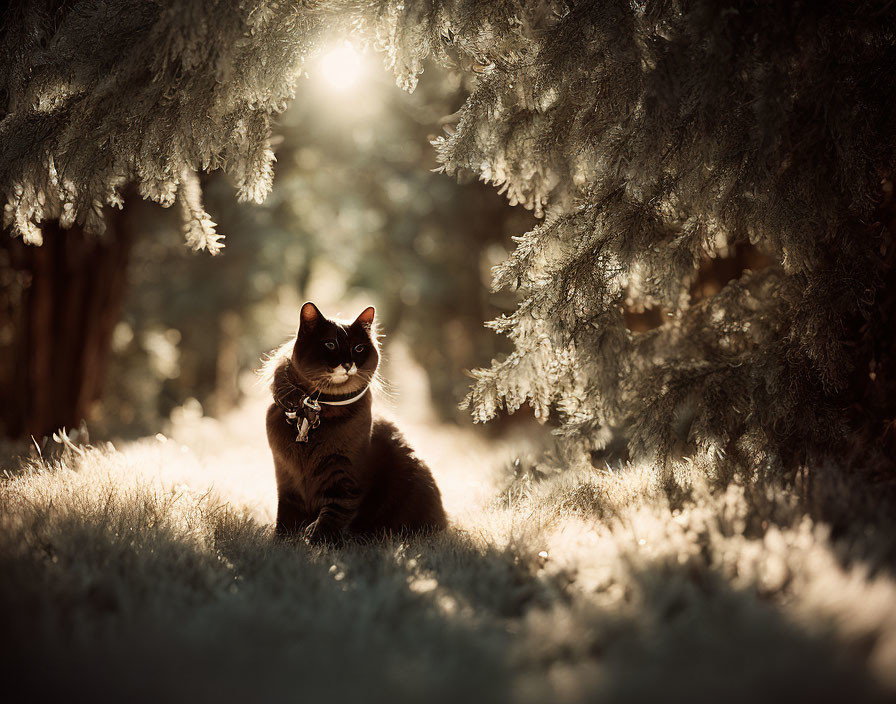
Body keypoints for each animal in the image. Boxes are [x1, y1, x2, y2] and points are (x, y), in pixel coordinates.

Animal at [264, 300, 448, 540]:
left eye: (358, 348)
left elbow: (334, 513)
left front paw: (317, 541)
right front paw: (282, 540)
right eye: (330, 344)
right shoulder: (287, 479)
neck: (316, 413)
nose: (348, 363)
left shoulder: (345, 476)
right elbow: (286, 516)